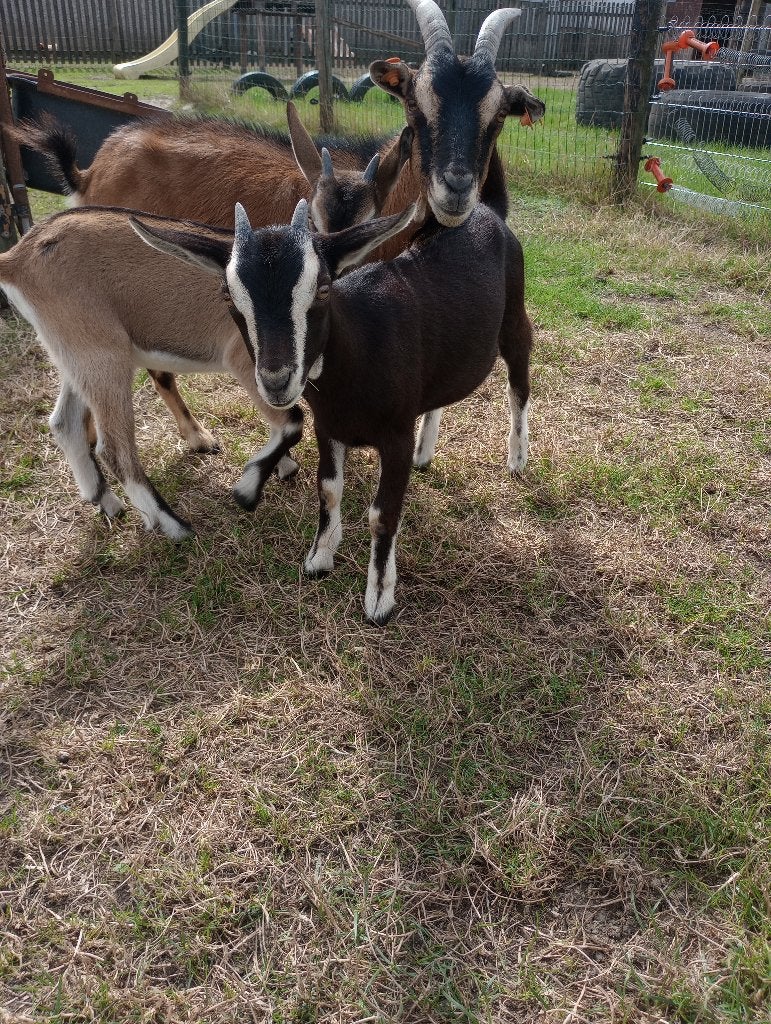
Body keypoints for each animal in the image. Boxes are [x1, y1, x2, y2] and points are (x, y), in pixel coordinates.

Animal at [133, 199, 532, 624]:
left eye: (323, 288)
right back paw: (426, 453)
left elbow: (382, 514)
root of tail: (486, 211)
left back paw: (517, 457)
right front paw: (320, 557)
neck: (358, 355)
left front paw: (379, 598)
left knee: (519, 383)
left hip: (514, 319)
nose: (276, 381)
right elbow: (327, 490)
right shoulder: (328, 428)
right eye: (228, 296)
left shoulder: (396, 435)